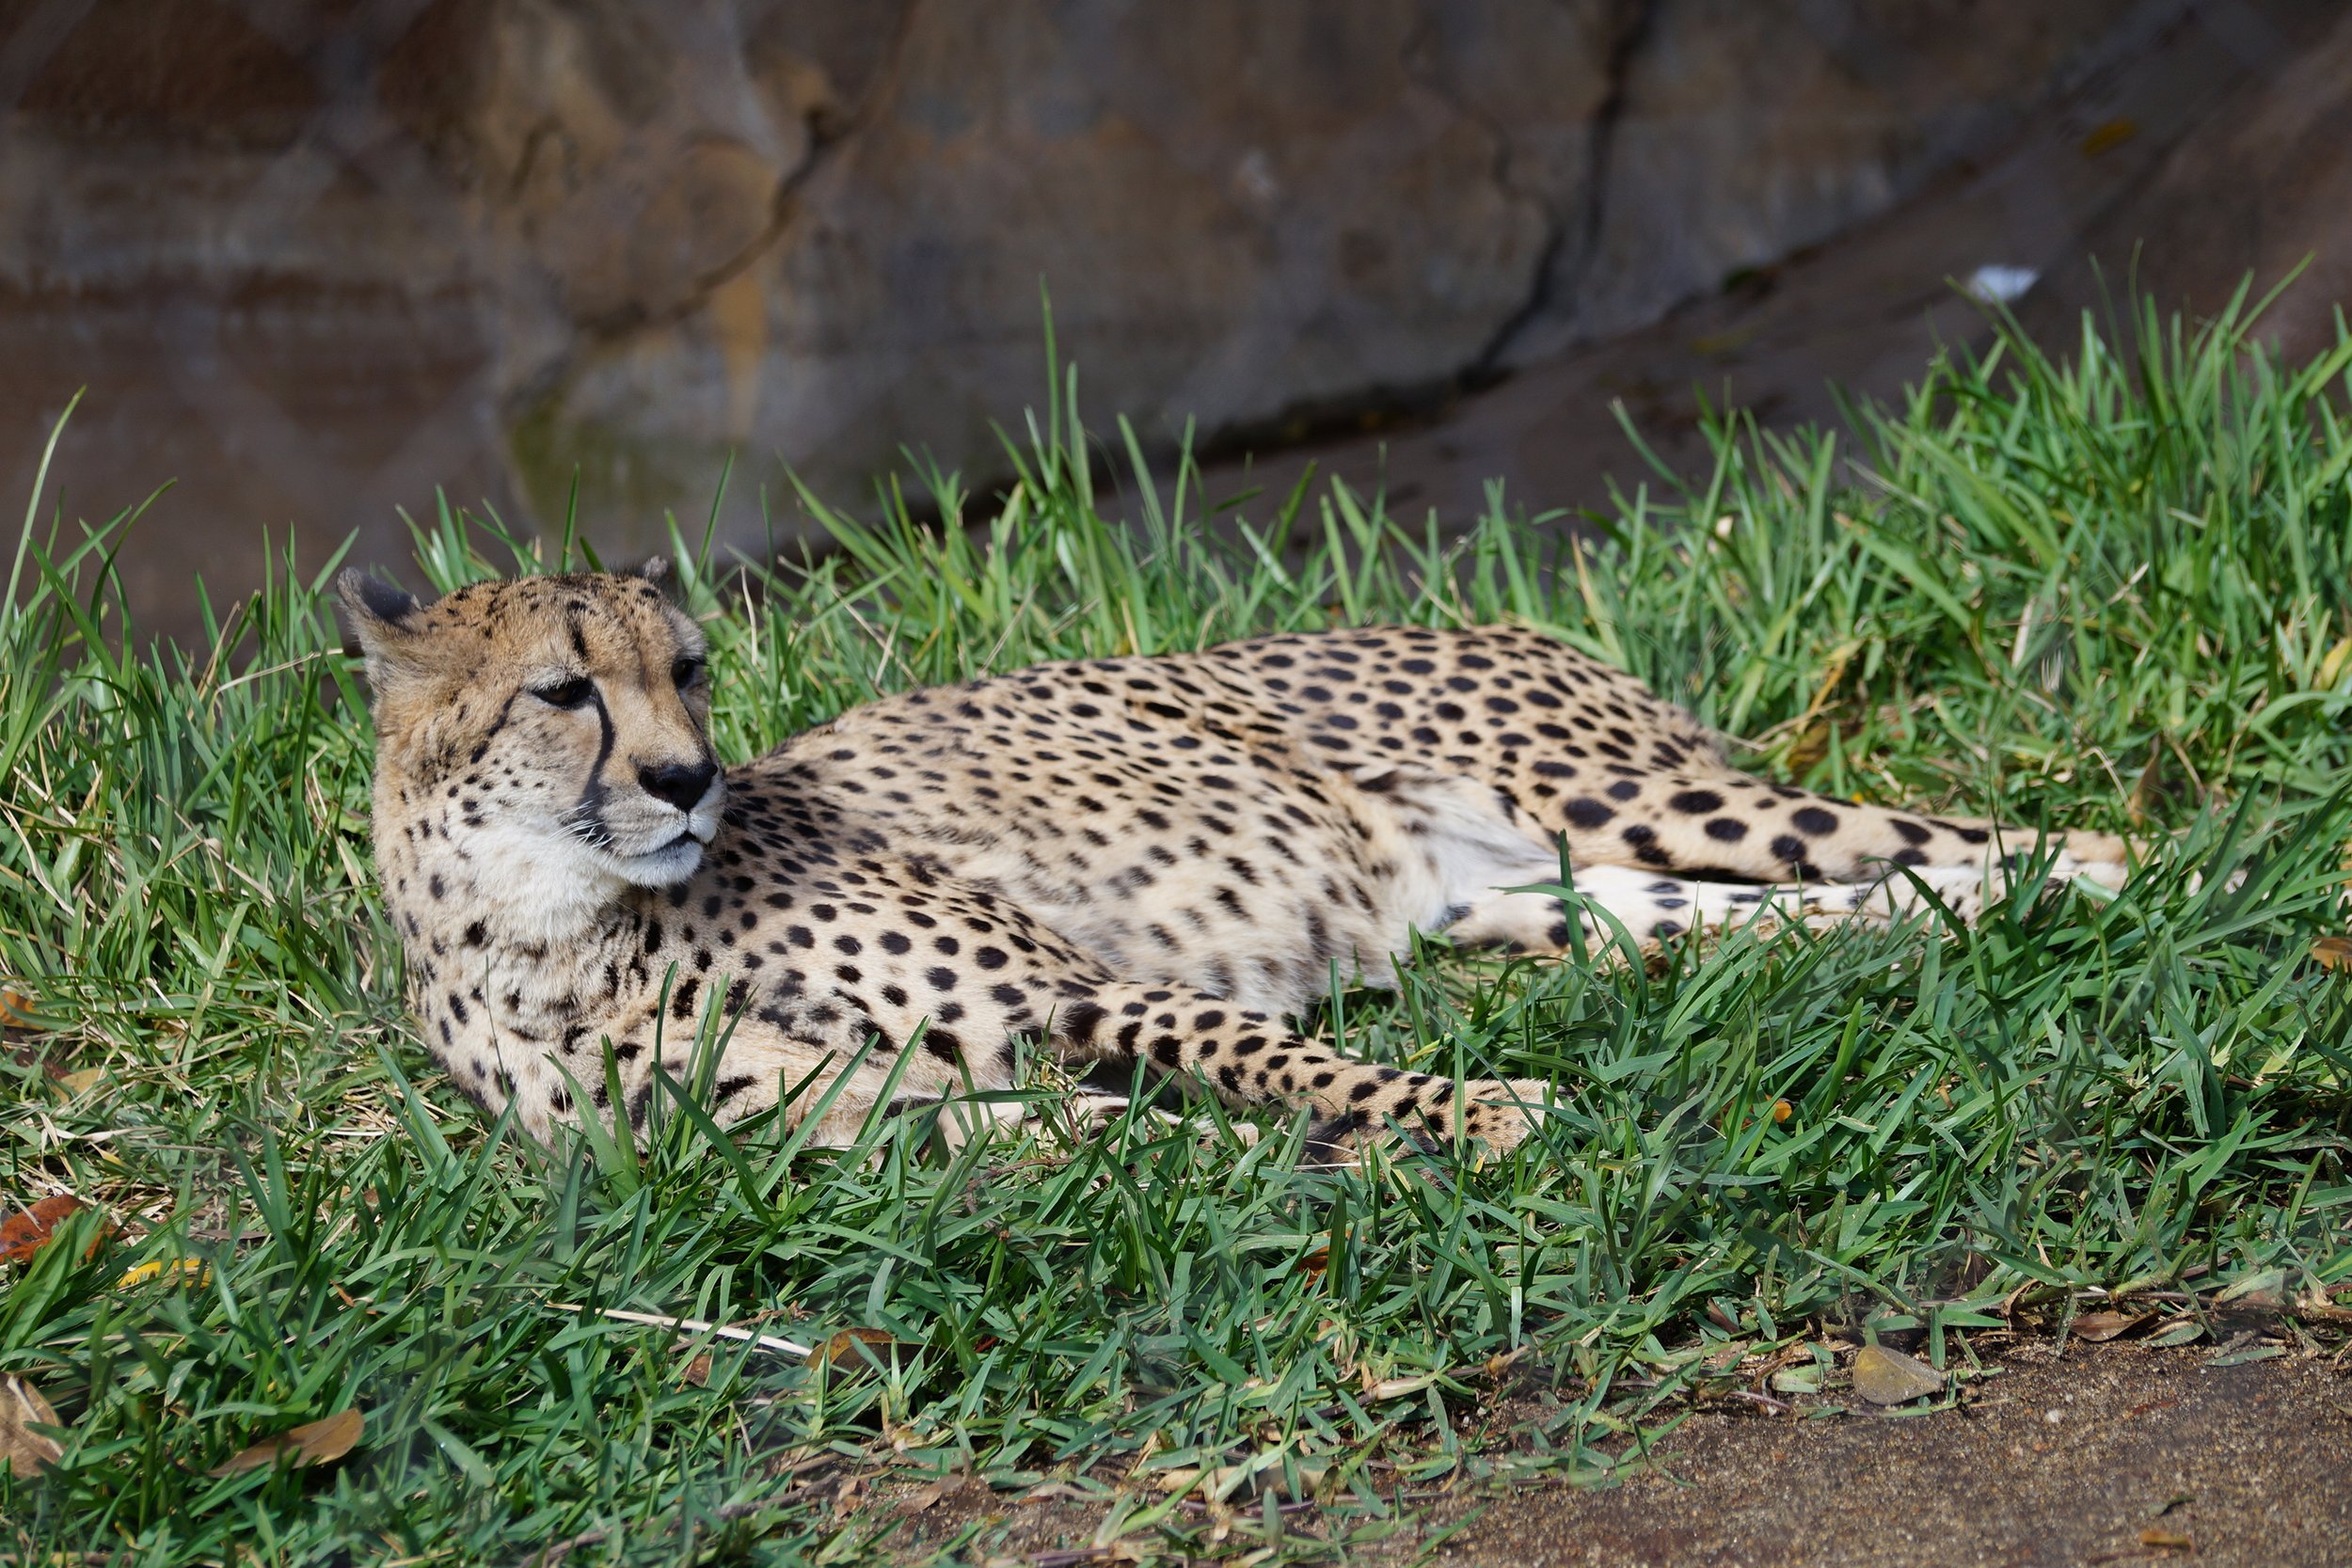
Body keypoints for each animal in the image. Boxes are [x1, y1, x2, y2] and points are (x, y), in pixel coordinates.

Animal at [338, 564, 2133, 1156]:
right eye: (566, 690)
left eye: (689, 669)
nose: (690, 778)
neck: (561, 926)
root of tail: (1493, 612)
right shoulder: (846, 1127)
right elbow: (1095, 1144)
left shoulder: (1070, 994)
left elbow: (1281, 1062)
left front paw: (1480, 1114)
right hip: (1535, 902)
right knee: (1804, 907)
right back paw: (1997, 909)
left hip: (1621, 797)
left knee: (2040, 831)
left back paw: (2117, 880)